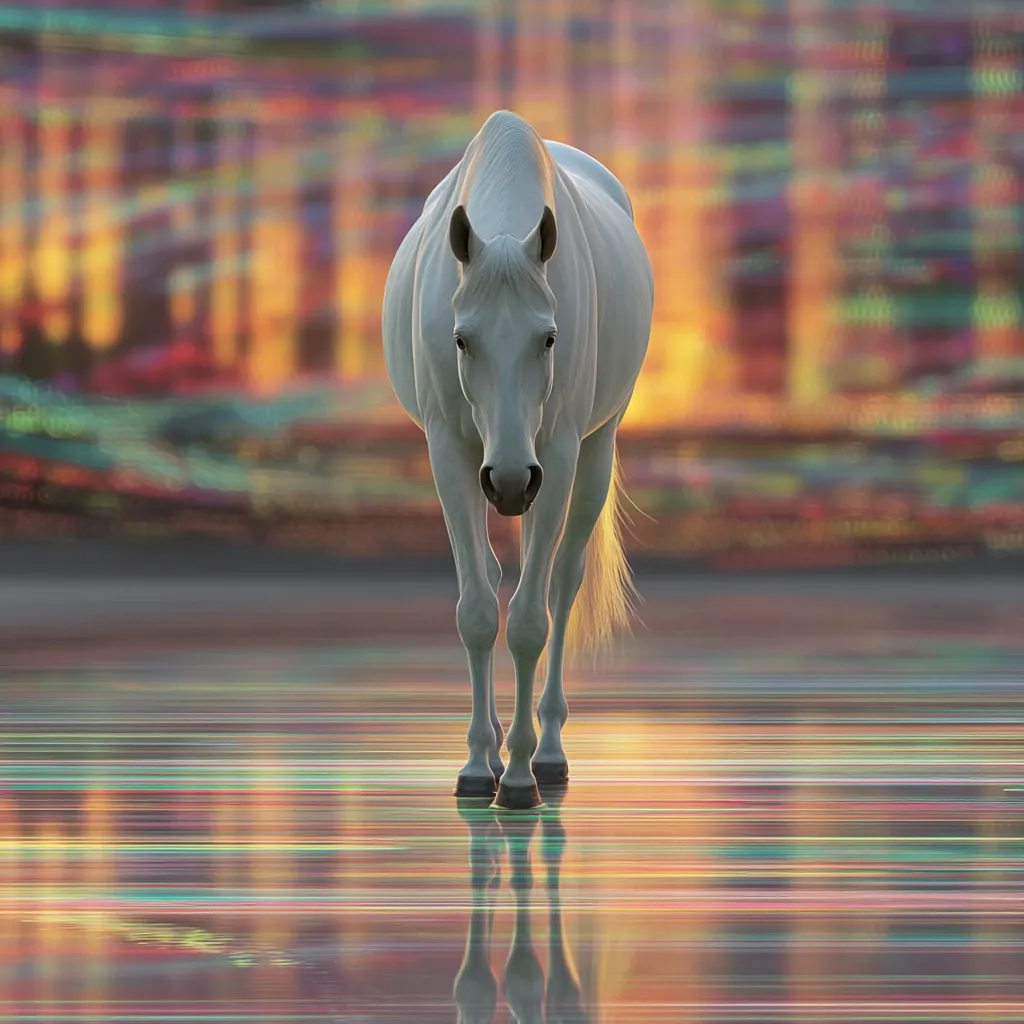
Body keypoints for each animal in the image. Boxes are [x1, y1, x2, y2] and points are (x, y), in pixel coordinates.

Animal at [382, 110, 653, 810]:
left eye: (549, 337)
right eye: (461, 339)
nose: (508, 479)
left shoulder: (553, 455)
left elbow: (532, 619)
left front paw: (523, 777)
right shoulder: (451, 454)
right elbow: (478, 611)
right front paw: (479, 765)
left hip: (586, 454)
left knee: (559, 582)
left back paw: (547, 750)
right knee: (499, 572)